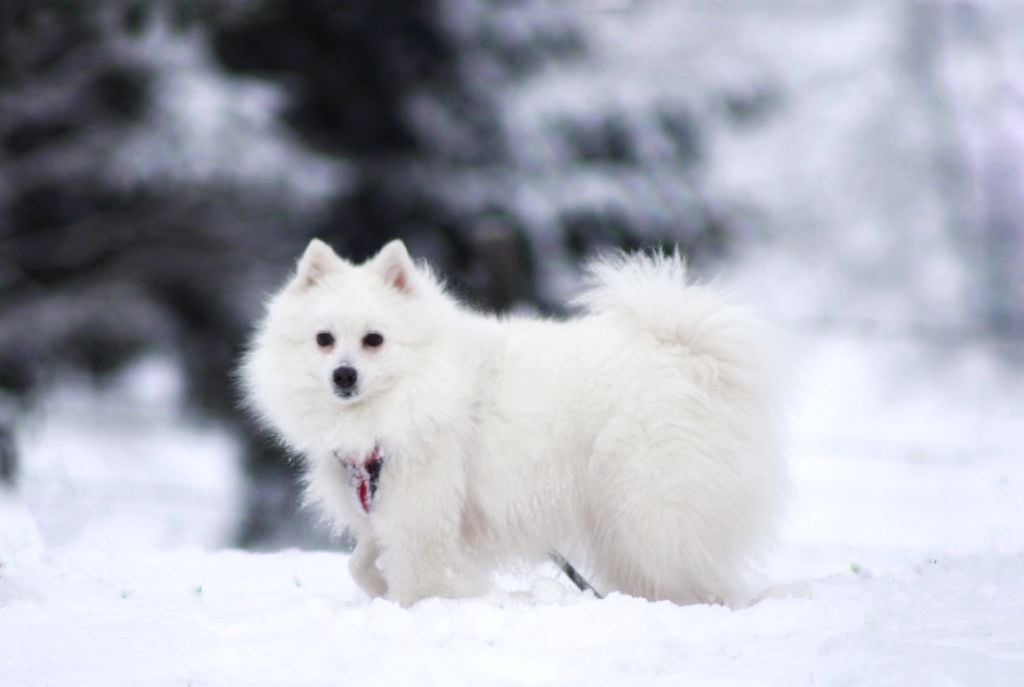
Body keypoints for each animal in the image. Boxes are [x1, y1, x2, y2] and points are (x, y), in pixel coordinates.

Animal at [243, 240, 786, 606]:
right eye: (324, 339)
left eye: (373, 339)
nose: (344, 374)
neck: (411, 392)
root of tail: (686, 355)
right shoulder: (393, 504)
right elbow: (360, 562)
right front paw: (379, 586)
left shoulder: (423, 509)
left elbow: (419, 574)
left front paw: (422, 607)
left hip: (649, 506)